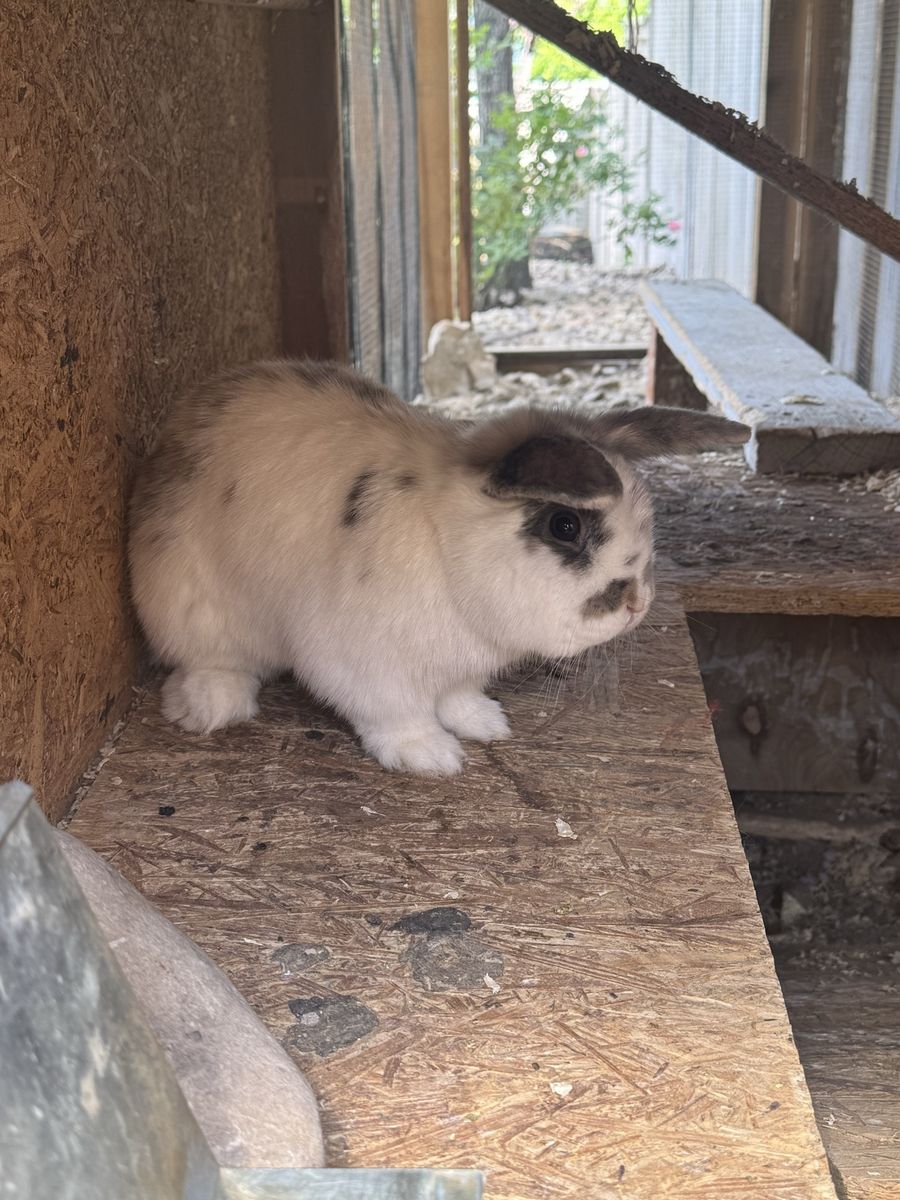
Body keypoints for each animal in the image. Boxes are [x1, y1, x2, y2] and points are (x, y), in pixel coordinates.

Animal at [129, 360, 749, 776]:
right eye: (564, 525)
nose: (637, 604)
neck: (446, 545)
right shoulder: (360, 662)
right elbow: (396, 713)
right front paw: (431, 756)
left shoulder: (459, 664)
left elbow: (457, 697)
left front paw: (485, 723)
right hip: (191, 604)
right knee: (208, 658)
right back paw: (212, 707)